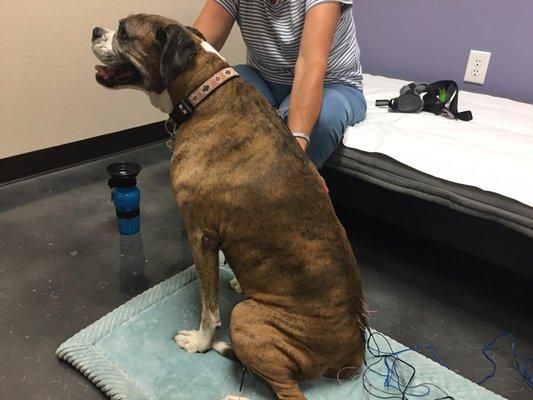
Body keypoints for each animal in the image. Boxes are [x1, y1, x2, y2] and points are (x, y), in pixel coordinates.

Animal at [91, 13, 366, 400]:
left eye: (125, 32)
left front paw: (200, 343)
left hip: (248, 318)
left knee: (289, 390)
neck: (201, 93)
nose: (95, 32)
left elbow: (209, 307)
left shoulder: (201, 236)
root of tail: (353, 349)